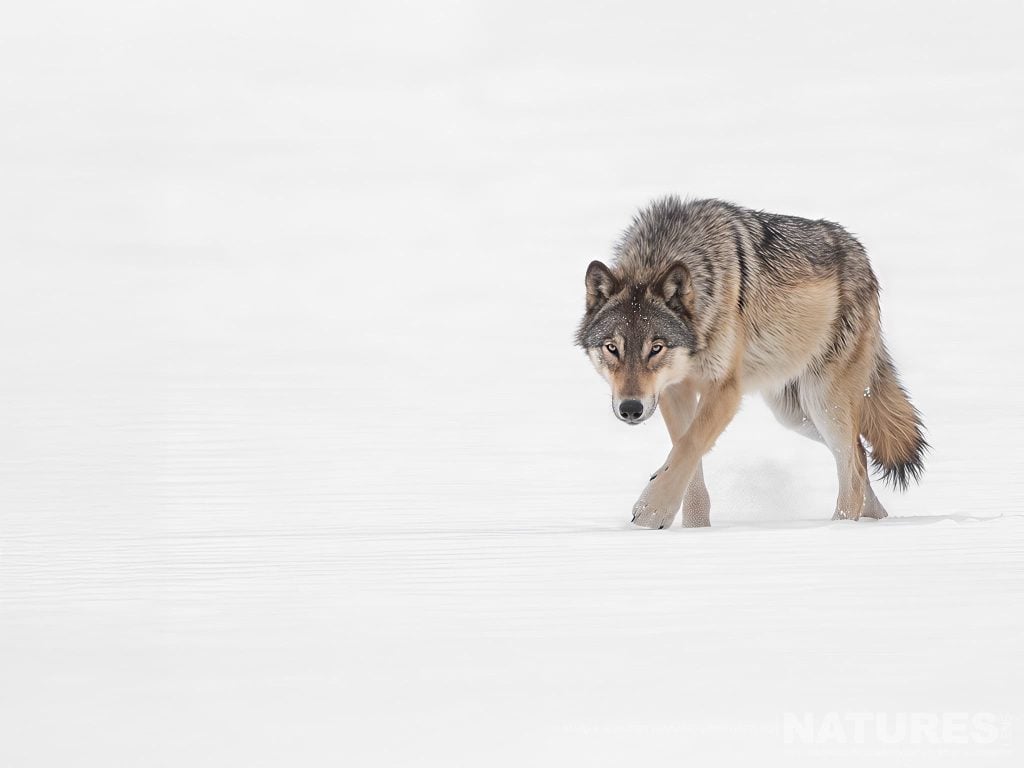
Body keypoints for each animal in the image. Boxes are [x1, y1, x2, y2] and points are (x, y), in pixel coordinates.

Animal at [576, 196, 927, 528]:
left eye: (656, 348)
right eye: (612, 348)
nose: (630, 408)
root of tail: (861, 255)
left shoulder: (725, 390)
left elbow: (689, 445)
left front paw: (652, 512)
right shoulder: (674, 390)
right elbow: (686, 457)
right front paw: (694, 528)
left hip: (823, 401)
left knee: (852, 467)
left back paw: (839, 528)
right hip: (794, 414)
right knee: (861, 456)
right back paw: (877, 520)